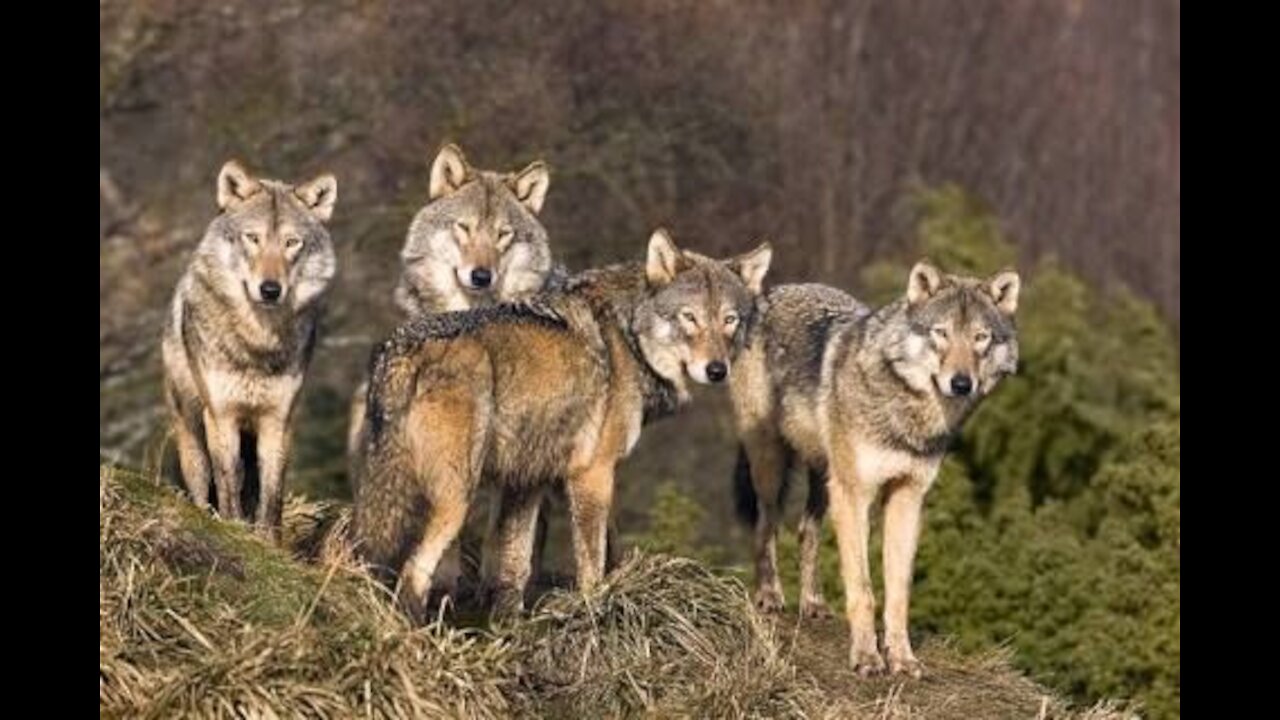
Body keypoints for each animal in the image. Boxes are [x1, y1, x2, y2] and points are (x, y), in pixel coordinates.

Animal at [162, 158, 337, 538]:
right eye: (253, 238)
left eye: (291, 243)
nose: (270, 289)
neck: (257, 341)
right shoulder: (222, 415)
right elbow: (228, 481)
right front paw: (233, 527)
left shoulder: (279, 419)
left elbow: (272, 493)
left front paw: (268, 540)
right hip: (191, 430)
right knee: (203, 483)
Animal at [350, 228, 768, 617]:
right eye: (689, 317)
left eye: (729, 320)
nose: (717, 370)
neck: (629, 337)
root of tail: (402, 349)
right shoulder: (592, 473)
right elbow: (593, 563)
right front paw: (594, 611)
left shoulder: (526, 481)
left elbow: (514, 570)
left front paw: (509, 628)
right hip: (455, 498)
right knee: (413, 574)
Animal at [732, 260, 1018, 676]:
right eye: (941, 333)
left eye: (981, 338)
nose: (962, 383)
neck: (908, 414)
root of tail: (775, 290)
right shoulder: (856, 495)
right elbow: (863, 590)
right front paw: (867, 658)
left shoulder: (907, 496)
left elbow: (898, 593)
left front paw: (902, 659)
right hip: (773, 465)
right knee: (766, 523)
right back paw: (769, 595)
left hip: (825, 479)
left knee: (806, 531)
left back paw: (812, 603)